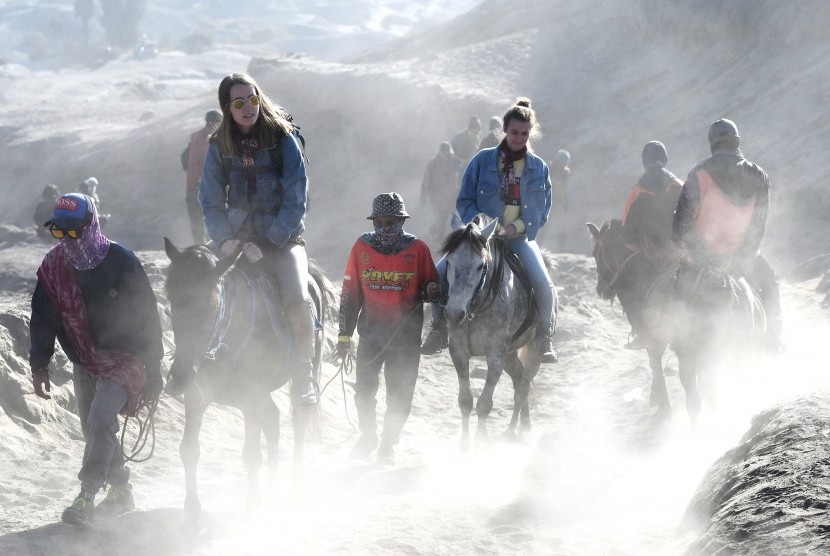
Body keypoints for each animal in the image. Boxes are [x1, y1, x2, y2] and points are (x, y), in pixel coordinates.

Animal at [164, 238, 330, 516]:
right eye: (172, 302)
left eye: (213, 306)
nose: (180, 376)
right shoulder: (197, 399)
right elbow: (188, 450)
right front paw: (192, 509)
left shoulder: (250, 398)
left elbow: (251, 454)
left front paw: (253, 507)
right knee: (272, 419)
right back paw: (273, 487)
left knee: (298, 419)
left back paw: (295, 485)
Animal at [442, 215, 560, 446]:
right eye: (449, 262)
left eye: (481, 266)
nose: (454, 313)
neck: (477, 308)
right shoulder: (459, 352)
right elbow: (465, 400)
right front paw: (464, 444)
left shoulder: (495, 355)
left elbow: (484, 404)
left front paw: (480, 441)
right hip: (510, 354)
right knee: (519, 379)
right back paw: (524, 425)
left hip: (531, 351)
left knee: (523, 387)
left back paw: (513, 430)